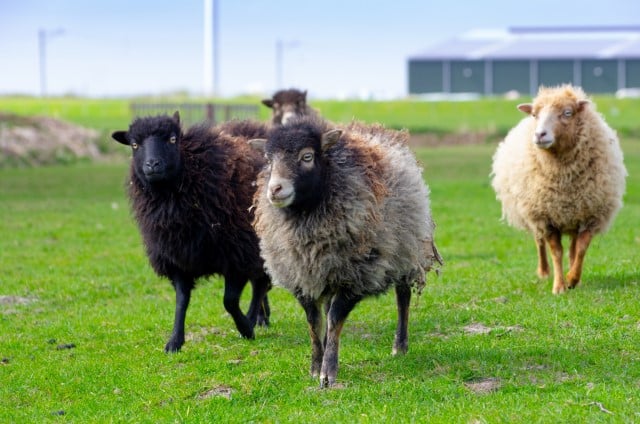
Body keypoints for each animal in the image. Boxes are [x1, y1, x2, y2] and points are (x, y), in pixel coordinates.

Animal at [112, 112, 272, 352]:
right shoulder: (176, 258)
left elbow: (229, 300)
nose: (152, 164)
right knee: (260, 283)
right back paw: (261, 317)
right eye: (134, 144)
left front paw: (245, 327)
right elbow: (181, 301)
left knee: (261, 285)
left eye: (172, 139)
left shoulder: (236, 253)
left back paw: (255, 318)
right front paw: (174, 341)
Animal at [249, 116, 440, 388]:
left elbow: (334, 320)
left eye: (307, 156)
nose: (275, 189)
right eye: (268, 160)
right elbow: (314, 322)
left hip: (404, 250)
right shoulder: (301, 276)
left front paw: (328, 373)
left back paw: (400, 346)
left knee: (402, 298)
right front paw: (315, 365)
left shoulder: (355, 275)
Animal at [492, 84, 628, 294]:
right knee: (539, 242)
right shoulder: (545, 218)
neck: (564, 180)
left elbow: (581, 249)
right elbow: (556, 251)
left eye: (567, 113)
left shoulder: (591, 215)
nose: (540, 135)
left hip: (573, 217)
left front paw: (572, 278)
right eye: (534, 114)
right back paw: (543, 272)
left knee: (572, 248)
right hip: (533, 211)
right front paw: (559, 286)